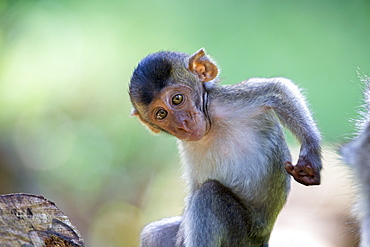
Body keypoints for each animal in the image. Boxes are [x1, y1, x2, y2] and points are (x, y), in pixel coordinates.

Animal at [129, 49, 320, 246]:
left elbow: (277, 89)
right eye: (161, 114)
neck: (209, 124)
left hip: (241, 236)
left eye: (177, 99)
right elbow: (194, 189)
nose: (182, 124)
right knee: (154, 233)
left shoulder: (223, 102)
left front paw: (310, 153)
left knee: (209, 195)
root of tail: (263, 239)